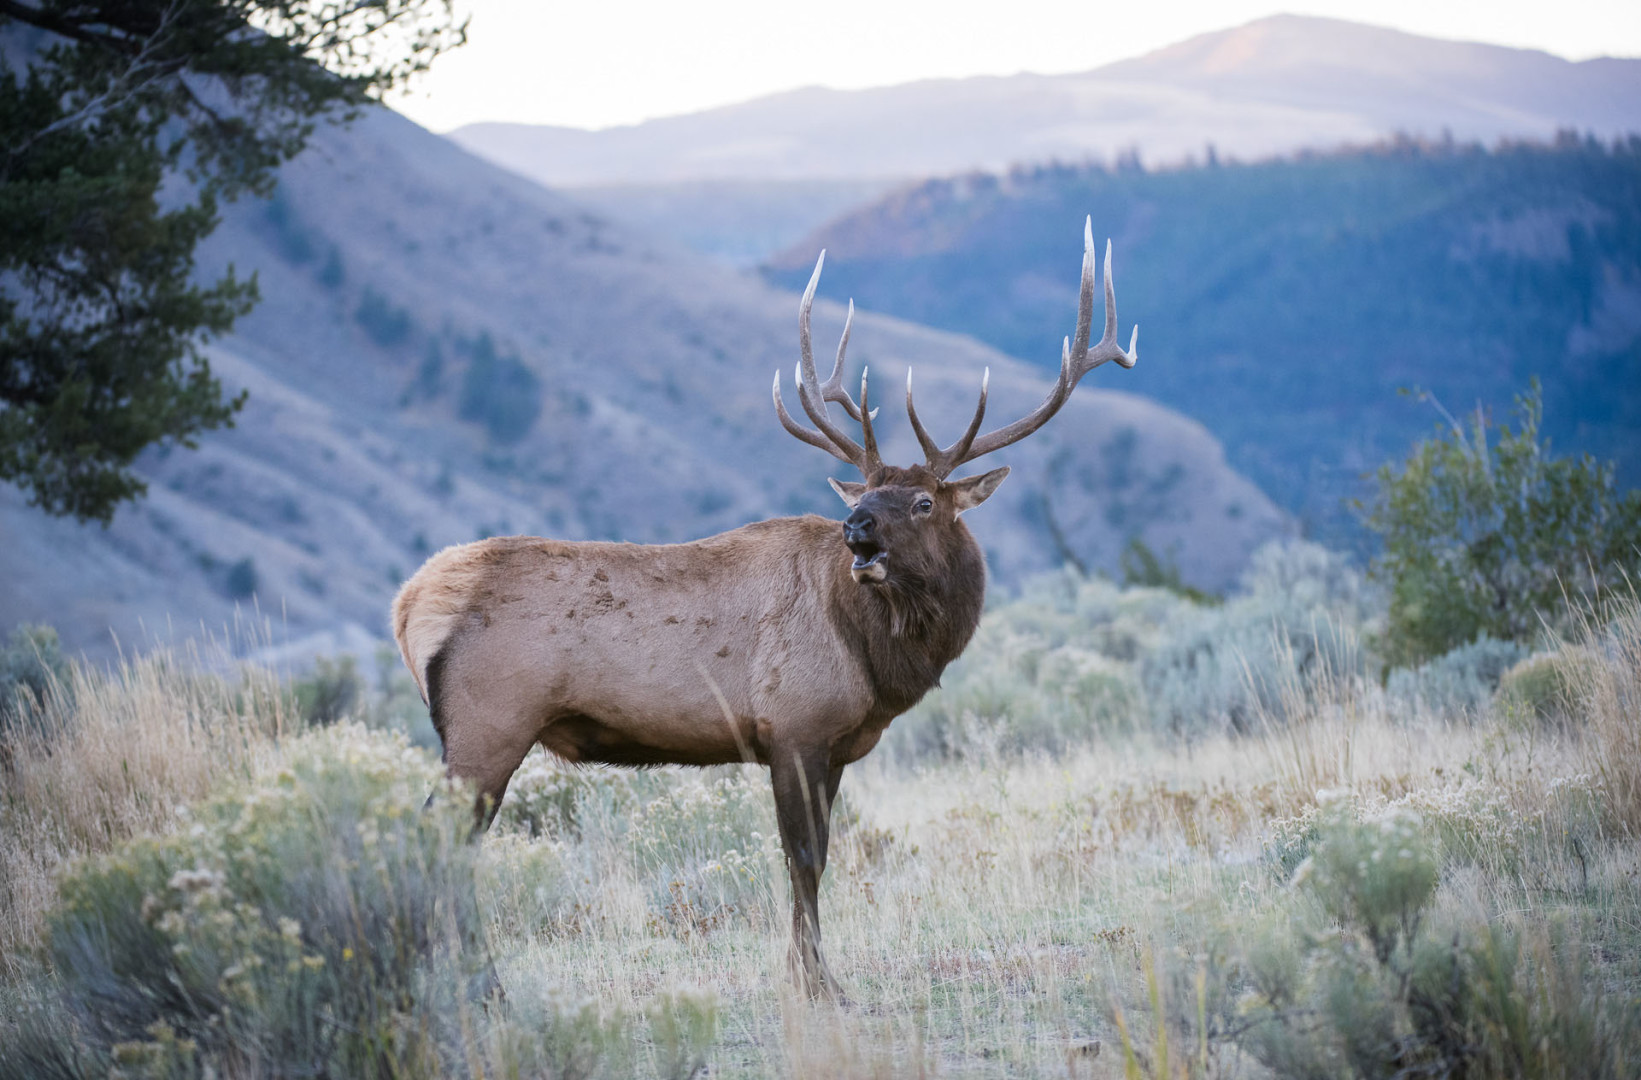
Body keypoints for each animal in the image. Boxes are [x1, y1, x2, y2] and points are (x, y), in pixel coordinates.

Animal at [397, 216, 1142, 991]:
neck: (877, 663)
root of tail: (410, 602)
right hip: (488, 725)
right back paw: (478, 985)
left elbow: (816, 856)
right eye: (865, 492)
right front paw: (818, 982)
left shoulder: (835, 745)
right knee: (441, 838)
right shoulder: (795, 727)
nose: (855, 527)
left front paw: (802, 972)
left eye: (922, 500)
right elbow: (804, 859)